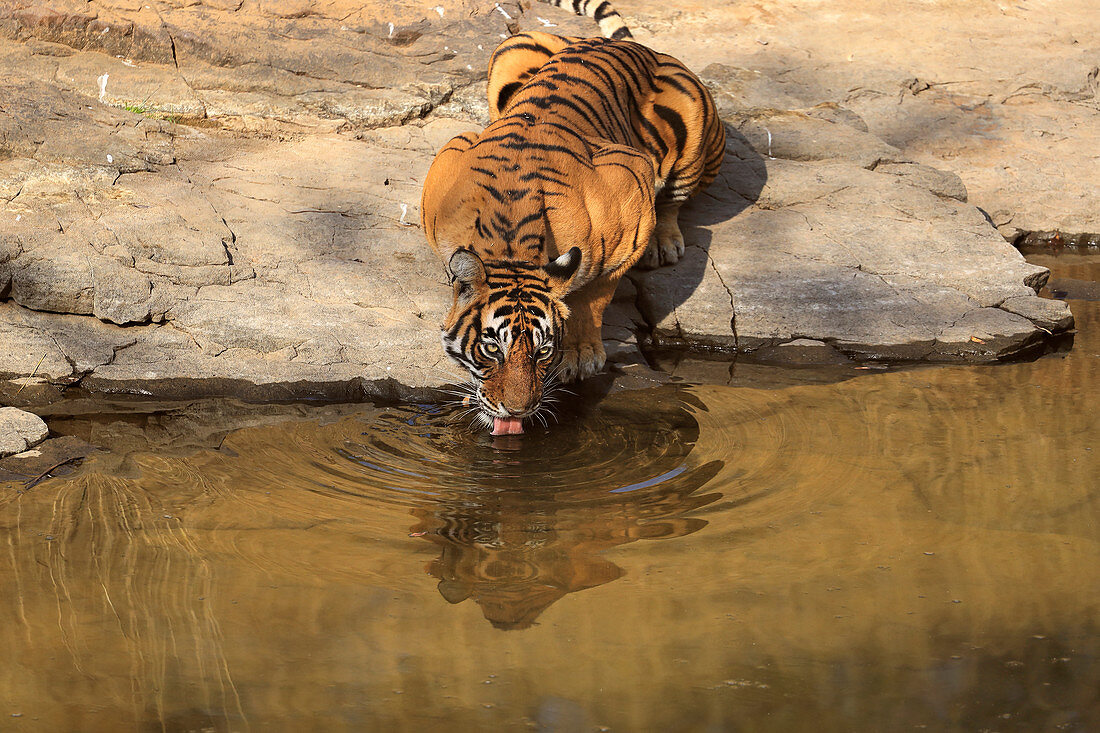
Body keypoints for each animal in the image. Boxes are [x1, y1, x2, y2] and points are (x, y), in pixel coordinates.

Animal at [418, 1, 721, 433]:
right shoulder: (452, 152)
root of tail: (639, 47)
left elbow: (595, 295)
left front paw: (580, 355)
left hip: (695, 127)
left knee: (675, 201)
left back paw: (662, 246)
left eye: (543, 352)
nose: (517, 411)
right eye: (492, 349)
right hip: (512, 47)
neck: (510, 241)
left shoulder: (631, 191)